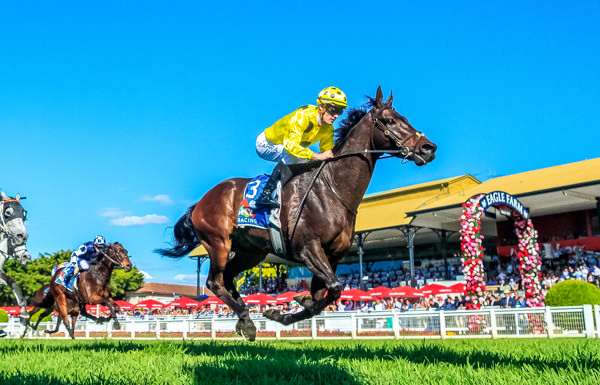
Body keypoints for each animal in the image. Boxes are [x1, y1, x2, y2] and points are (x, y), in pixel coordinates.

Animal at [155, 87, 436, 340]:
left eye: (405, 118)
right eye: (390, 121)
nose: (428, 147)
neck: (333, 188)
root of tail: (200, 202)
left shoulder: (332, 255)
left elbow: (324, 295)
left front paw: (289, 307)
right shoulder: (308, 248)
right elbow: (334, 288)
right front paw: (284, 310)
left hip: (251, 252)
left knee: (229, 280)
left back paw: (244, 319)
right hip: (218, 243)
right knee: (215, 282)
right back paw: (247, 321)